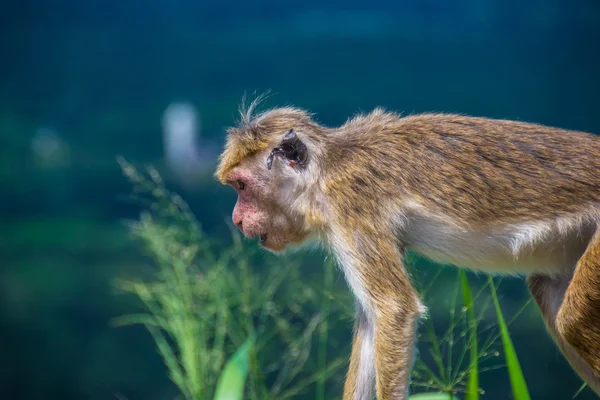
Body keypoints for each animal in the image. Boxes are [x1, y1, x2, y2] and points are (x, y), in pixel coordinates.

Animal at [218, 97, 600, 400]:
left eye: (242, 187)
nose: (236, 219)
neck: (326, 169)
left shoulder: (350, 205)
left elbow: (393, 309)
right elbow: (373, 320)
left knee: (571, 320)